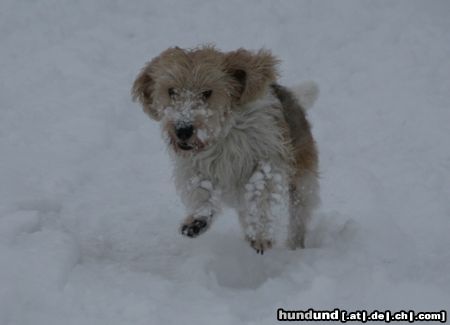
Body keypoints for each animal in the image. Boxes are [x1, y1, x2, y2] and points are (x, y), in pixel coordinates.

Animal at [132, 45, 318, 253]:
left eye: (207, 92)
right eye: (171, 91)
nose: (183, 130)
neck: (222, 136)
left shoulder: (268, 160)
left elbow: (261, 193)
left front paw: (261, 234)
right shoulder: (194, 168)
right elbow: (201, 190)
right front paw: (197, 220)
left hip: (302, 181)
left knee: (298, 214)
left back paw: (294, 245)